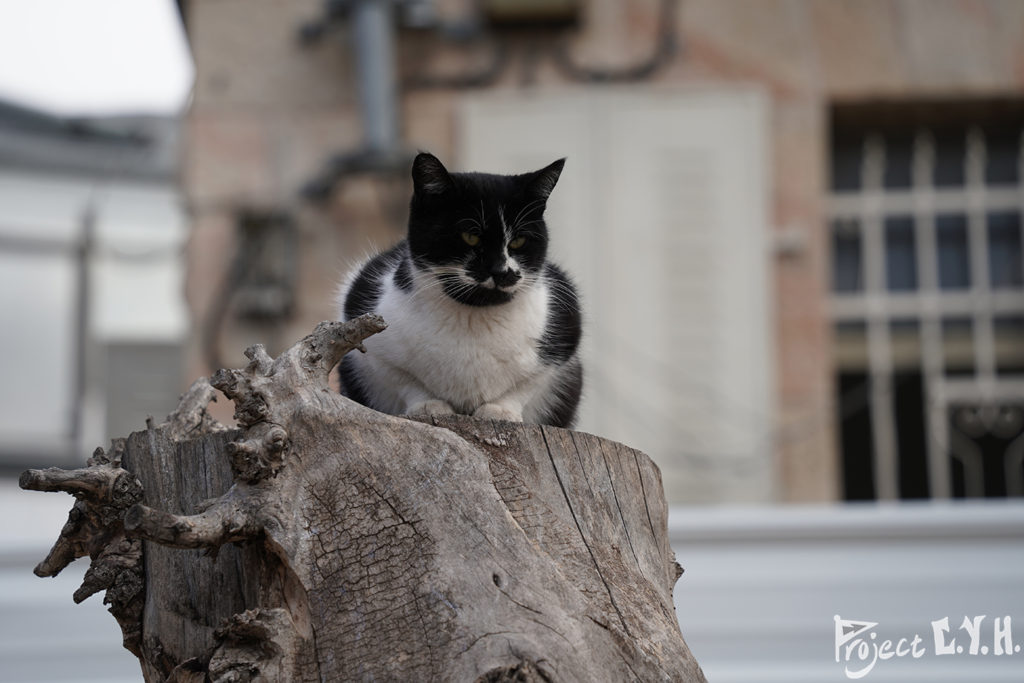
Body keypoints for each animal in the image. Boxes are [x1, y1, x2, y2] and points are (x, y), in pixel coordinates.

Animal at [331, 151, 581, 428]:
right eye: (470, 236)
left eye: (518, 241)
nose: (501, 271)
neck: (474, 320)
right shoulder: (372, 340)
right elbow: (405, 380)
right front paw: (429, 406)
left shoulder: (564, 335)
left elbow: (525, 386)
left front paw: (500, 410)